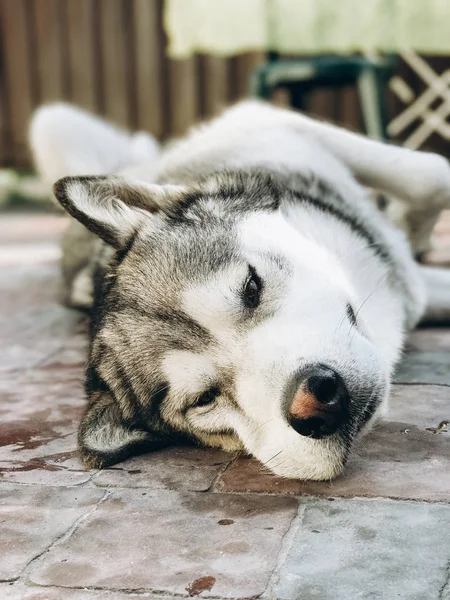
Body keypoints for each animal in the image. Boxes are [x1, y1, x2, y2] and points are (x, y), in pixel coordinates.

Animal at [29, 101, 450, 480]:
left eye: (250, 286)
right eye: (204, 398)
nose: (316, 403)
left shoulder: (264, 121)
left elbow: (433, 174)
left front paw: (412, 224)